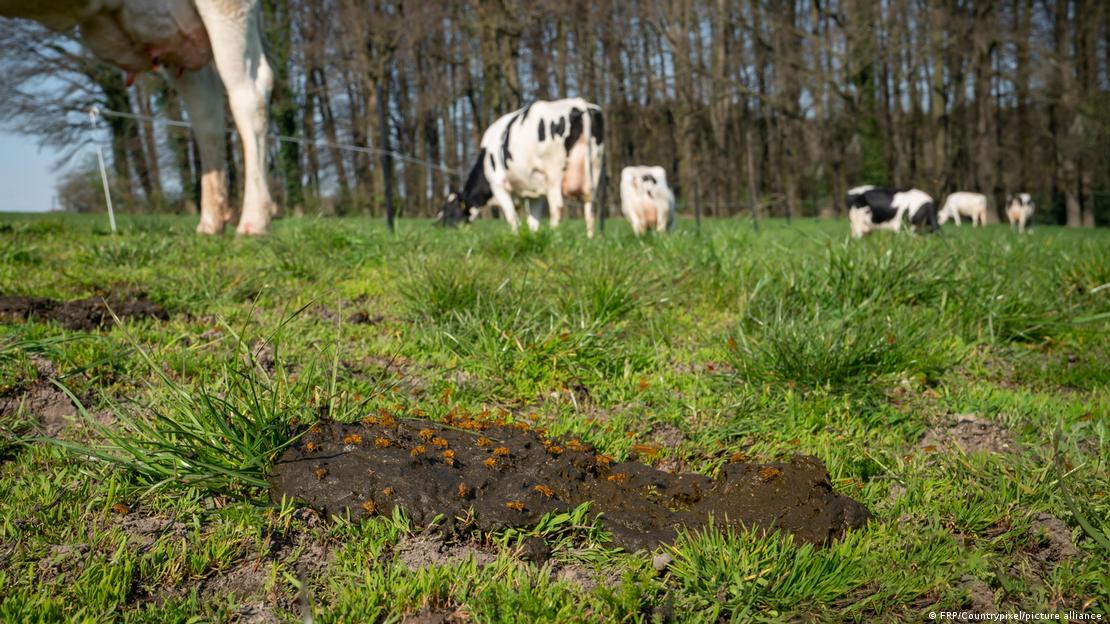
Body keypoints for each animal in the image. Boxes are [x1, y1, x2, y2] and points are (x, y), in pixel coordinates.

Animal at [0, 0, 276, 235]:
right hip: (177, 40)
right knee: (205, 105)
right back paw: (210, 223)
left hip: (227, 9)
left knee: (249, 93)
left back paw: (253, 221)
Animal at [440, 98, 604, 238]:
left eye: (448, 209)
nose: (438, 226)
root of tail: (579, 104)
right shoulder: (534, 193)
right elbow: (533, 221)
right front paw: (533, 237)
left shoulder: (498, 184)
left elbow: (512, 217)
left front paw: (515, 237)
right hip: (594, 167)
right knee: (590, 207)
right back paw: (590, 239)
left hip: (554, 172)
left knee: (557, 207)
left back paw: (553, 236)